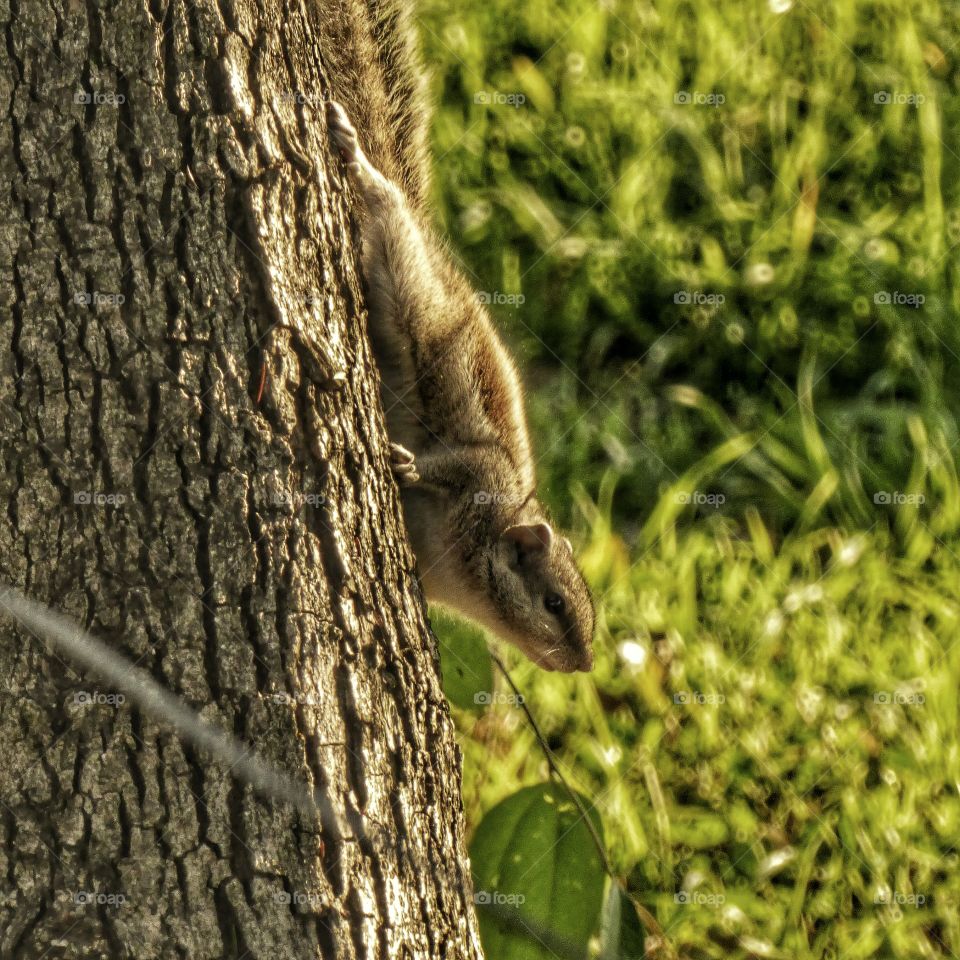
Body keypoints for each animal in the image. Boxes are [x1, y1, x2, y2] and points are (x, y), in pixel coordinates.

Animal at [325, 98, 595, 673]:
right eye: (554, 603)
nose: (583, 664)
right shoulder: (481, 473)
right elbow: (452, 463)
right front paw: (406, 465)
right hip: (414, 299)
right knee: (391, 217)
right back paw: (361, 166)